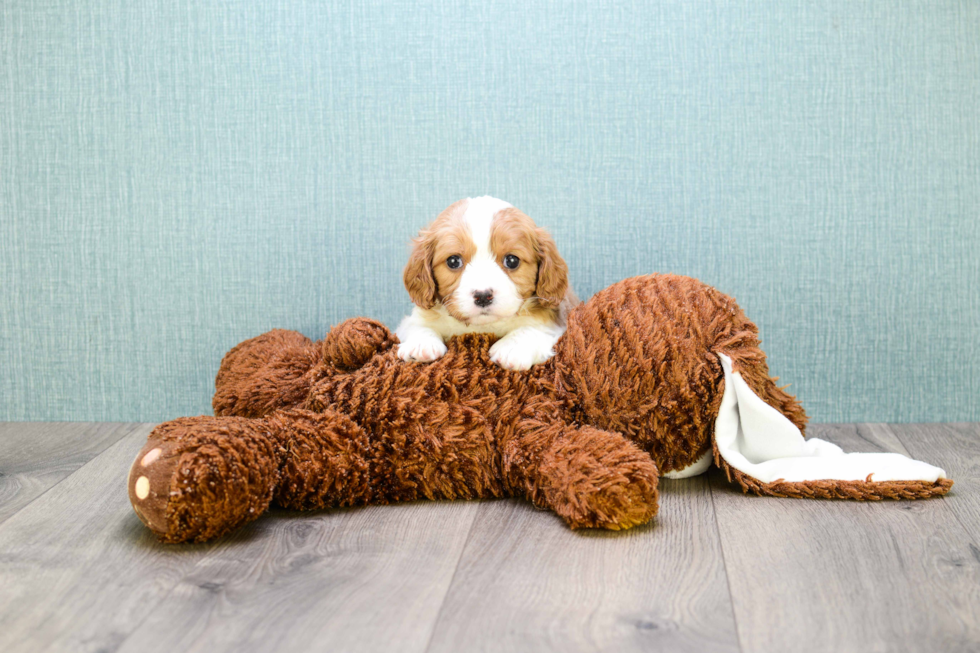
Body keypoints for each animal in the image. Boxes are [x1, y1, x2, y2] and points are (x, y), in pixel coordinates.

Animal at [396, 194, 576, 370]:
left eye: (512, 261)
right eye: (453, 261)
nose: (483, 296)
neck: (482, 327)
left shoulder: (554, 322)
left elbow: (530, 329)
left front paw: (512, 348)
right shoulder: (411, 321)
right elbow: (418, 325)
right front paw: (420, 344)